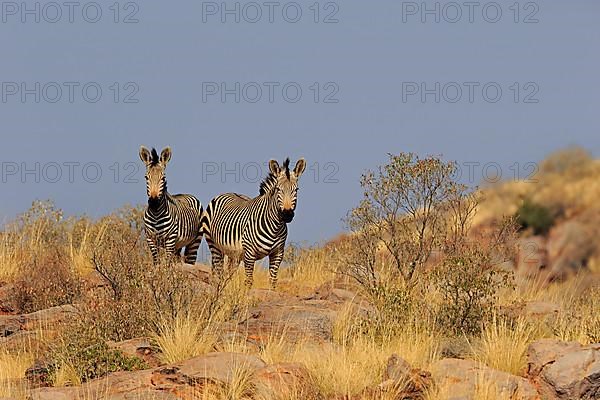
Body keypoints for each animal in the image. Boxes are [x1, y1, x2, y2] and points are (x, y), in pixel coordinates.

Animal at [204, 158, 308, 286]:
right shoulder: (249, 253)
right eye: (278, 189)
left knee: (228, 274)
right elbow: (249, 281)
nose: (287, 214)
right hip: (214, 246)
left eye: (296, 190)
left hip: (234, 254)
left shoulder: (278, 253)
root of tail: (227, 193)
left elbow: (272, 281)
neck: (275, 227)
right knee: (218, 273)